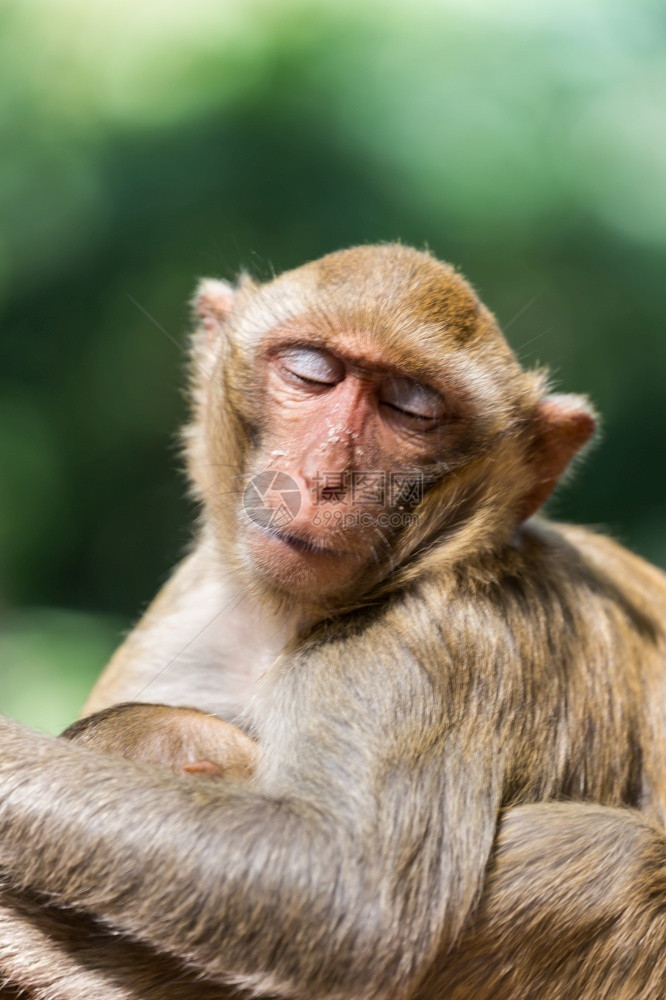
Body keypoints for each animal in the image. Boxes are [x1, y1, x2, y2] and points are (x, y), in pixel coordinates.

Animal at [0, 244, 664, 1000]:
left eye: (412, 407)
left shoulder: (434, 638)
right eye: (309, 372)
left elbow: (344, 886)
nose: (324, 476)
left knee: (623, 856)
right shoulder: (190, 599)